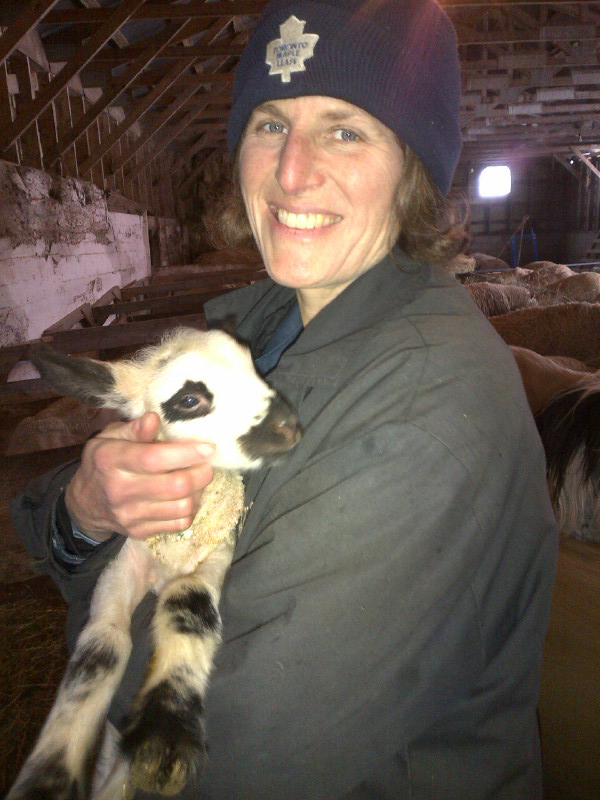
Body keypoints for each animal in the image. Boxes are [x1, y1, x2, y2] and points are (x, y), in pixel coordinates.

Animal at [7, 327, 301, 800]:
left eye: (253, 364)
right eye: (189, 400)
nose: (288, 427)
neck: (174, 549)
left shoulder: (216, 553)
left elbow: (188, 603)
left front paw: (167, 736)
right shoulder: (123, 567)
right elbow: (102, 647)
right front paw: (48, 776)